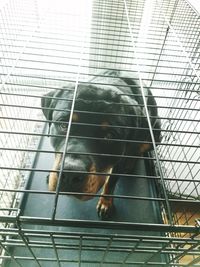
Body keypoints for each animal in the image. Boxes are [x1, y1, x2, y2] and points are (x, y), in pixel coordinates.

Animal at [41, 69, 161, 220]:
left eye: (109, 136)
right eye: (64, 125)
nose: (70, 175)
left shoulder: (120, 159)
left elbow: (111, 182)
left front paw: (106, 203)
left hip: (154, 135)